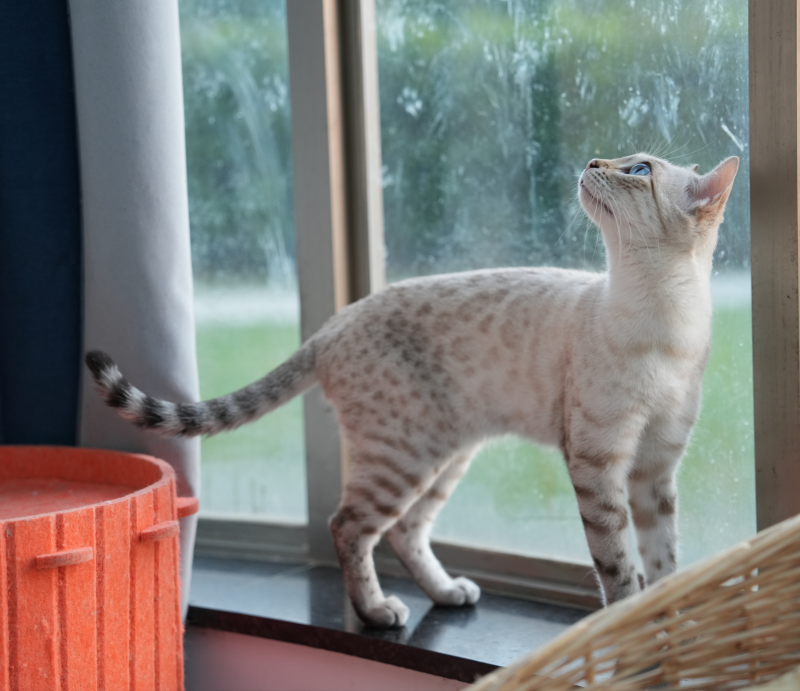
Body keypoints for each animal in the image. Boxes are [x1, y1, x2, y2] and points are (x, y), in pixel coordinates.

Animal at [85, 152, 739, 628]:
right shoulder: (600, 464)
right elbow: (619, 568)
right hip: (405, 455)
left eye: (640, 169)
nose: (592, 158)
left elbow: (664, 559)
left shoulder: (654, 471)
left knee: (403, 529)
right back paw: (376, 611)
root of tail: (330, 326)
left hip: (444, 454)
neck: (663, 323)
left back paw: (446, 592)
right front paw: (632, 627)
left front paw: (673, 620)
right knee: (348, 525)